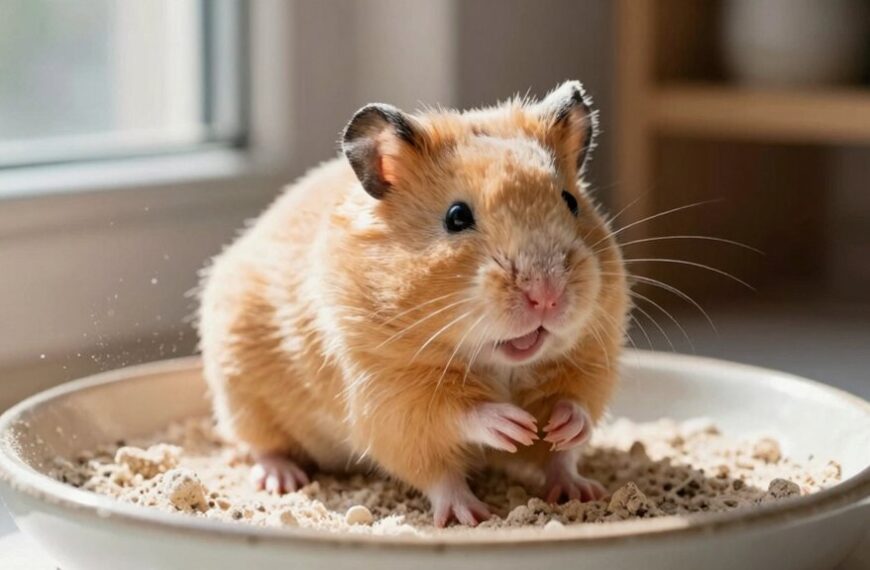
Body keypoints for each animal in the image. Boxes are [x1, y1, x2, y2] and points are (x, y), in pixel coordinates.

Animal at [198, 80, 629, 527]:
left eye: (571, 201)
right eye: (456, 217)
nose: (546, 294)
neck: (497, 362)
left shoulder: (591, 358)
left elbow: (572, 421)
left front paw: (563, 430)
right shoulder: (390, 396)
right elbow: (449, 433)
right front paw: (500, 452)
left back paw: (580, 490)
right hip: (242, 396)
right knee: (263, 445)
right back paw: (282, 478)